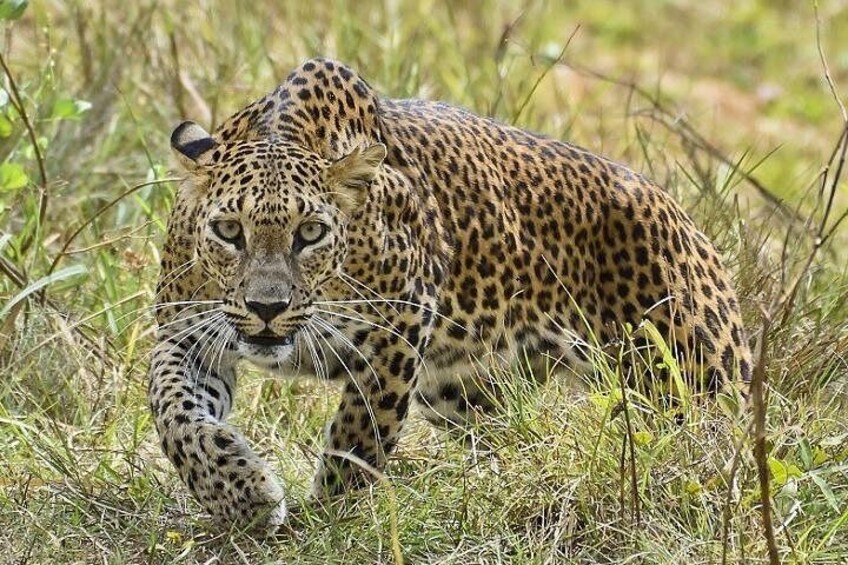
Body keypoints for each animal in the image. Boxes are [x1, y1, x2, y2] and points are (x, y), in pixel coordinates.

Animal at [149, 57, 752, 529]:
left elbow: (359, 436)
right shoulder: (186, 332)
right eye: (230, 231)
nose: (267, 309)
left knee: (724, 446)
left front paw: (323, 520)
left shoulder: (398, 332)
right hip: (465, 390)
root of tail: (683, 216)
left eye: (311, 233)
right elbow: (174, 413)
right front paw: (241, 495)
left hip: (694, 378)